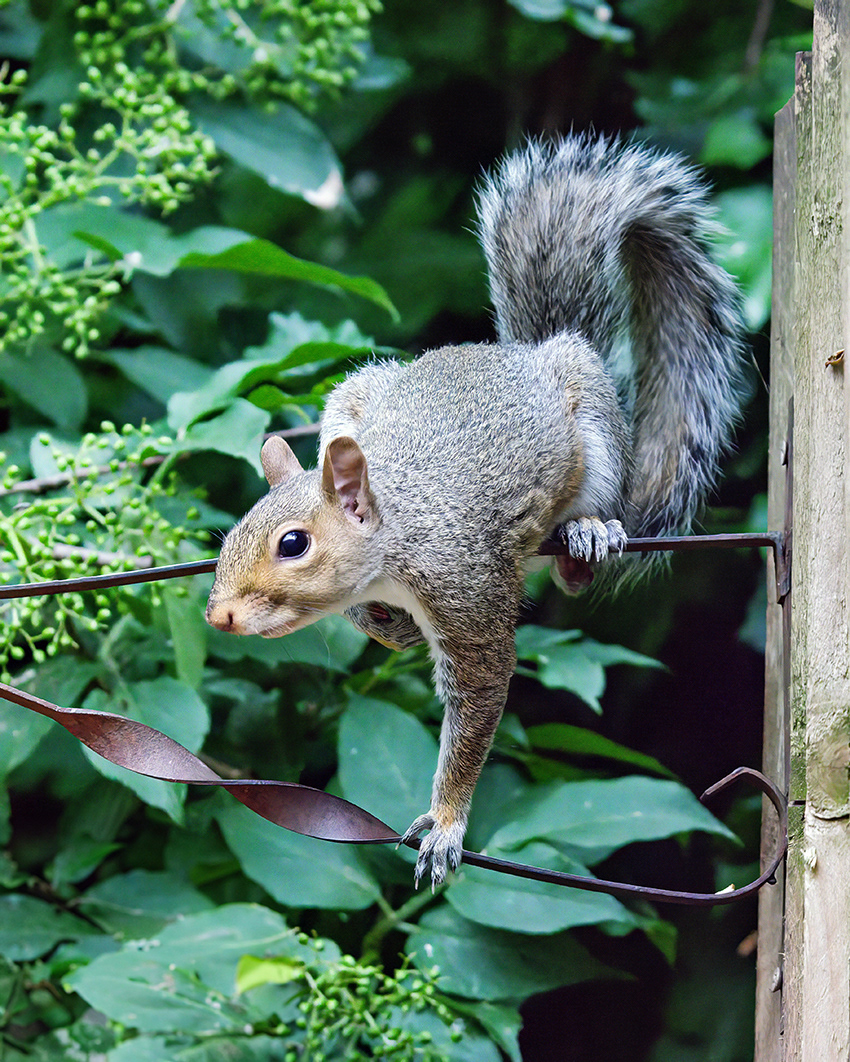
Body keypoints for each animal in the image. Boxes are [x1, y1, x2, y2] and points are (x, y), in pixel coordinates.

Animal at [206, 133, 747, 888]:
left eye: (293, 544)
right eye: (230, 536)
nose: (219, 615)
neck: (397, 533)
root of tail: (524, 351)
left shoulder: (465, 590)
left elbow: (479, 700)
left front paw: (447, 823)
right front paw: (384, 628)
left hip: (594, 429)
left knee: (589, 521)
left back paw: (587, 535)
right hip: (354, 392)